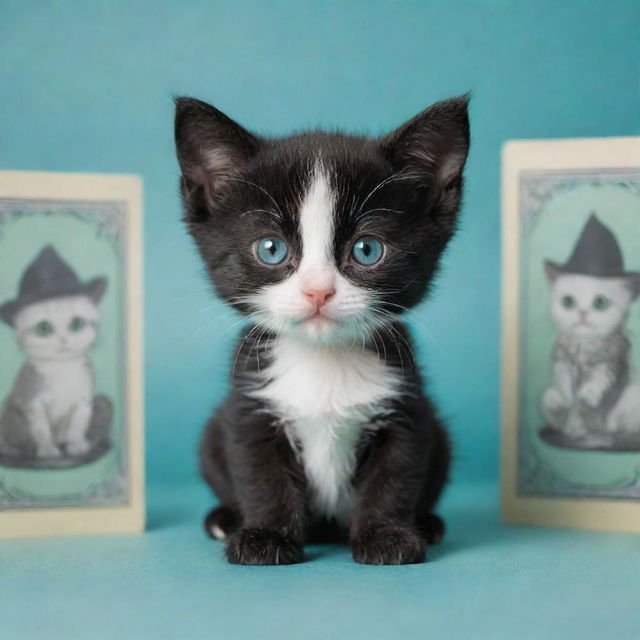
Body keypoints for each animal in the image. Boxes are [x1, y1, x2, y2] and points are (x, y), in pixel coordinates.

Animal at [175, 95, 470, 564]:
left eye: (366, 250)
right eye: (270, 249)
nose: (318, 291)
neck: (324, 359)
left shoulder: (406, 406)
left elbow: (396, 475)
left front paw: (387, 536)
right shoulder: (249, 408)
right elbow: (260, 475)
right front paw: (266, 537)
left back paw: (428, 523)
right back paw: (223, 519)